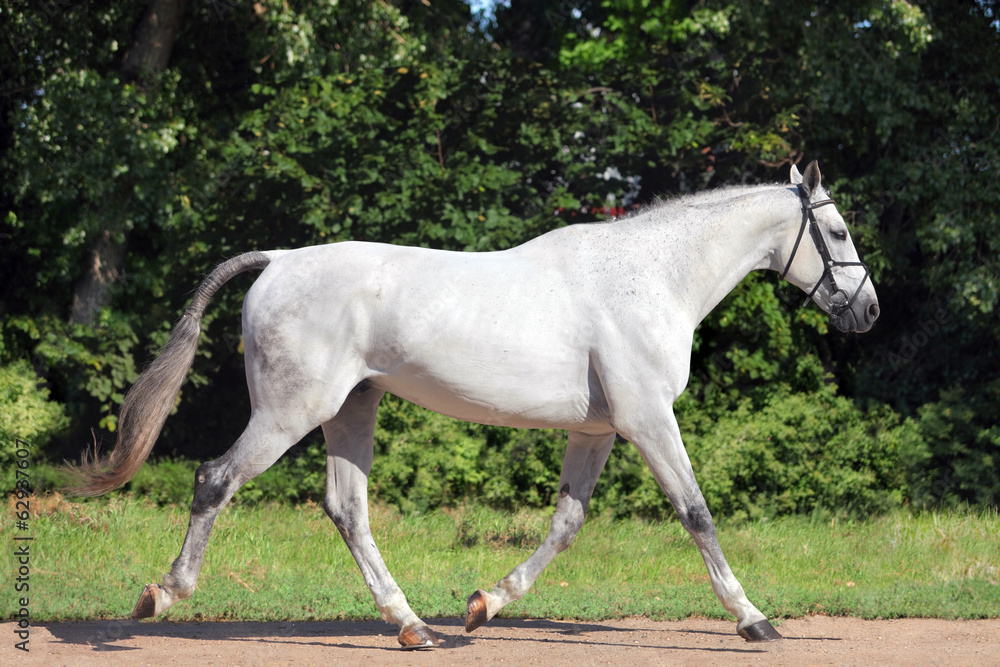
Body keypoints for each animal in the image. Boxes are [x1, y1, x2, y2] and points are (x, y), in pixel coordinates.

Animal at [69, 161, 879, 647]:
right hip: (289, 414)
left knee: (347, 508)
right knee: (217, 479)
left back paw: (412, 626)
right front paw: (754, 619)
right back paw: (161, 596)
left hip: (352, 410)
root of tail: (279, 261)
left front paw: (484, 603)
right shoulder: (649, 419)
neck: (652, 277)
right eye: (837, 231)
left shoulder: (598, 431)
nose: (868, 310)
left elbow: (566, 523)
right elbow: (697, 513)